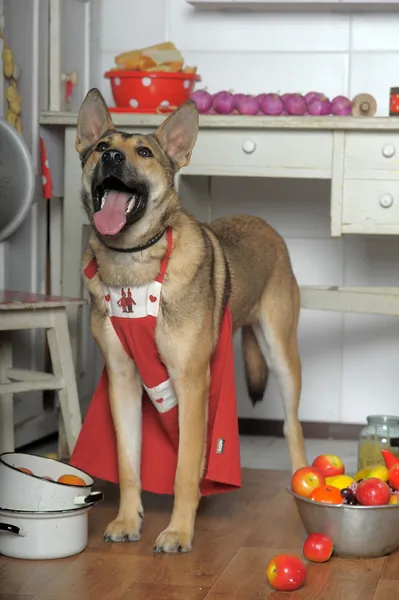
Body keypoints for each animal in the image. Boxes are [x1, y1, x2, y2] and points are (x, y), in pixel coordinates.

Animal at [74, 88, 306, 552]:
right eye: (102, 147)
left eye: (144, 152)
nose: (112, 158)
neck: (133, 263)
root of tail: (263, 222)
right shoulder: (123, 381)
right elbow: (128, 465)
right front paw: (128, 521)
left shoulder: (191, 381)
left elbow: (182, 471)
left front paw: (179, 531)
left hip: (281, 355)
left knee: (292, 427)